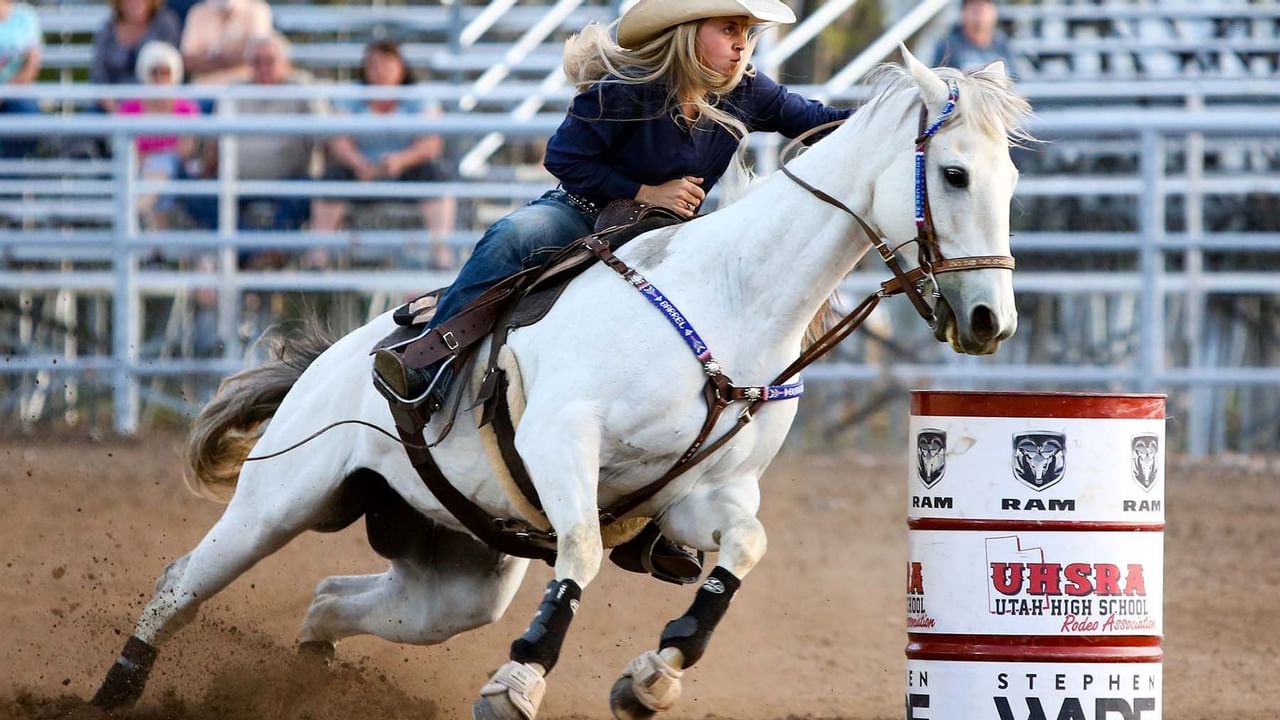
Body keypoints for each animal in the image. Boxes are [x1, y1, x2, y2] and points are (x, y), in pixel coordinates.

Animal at [91, 47, 1031, 720]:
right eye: (953, 174)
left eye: (1013, 181)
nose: (992, 320)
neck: (728, 297)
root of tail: (330, 362)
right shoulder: (563, 440)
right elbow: (579, 550)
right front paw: (519, 682)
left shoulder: (701, 494)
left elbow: (745, 550)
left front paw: (654, 674)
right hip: (279, 499)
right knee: (183, 580)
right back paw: (115, 687)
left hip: (457, 574)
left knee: (330, 601)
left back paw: (312, 679)